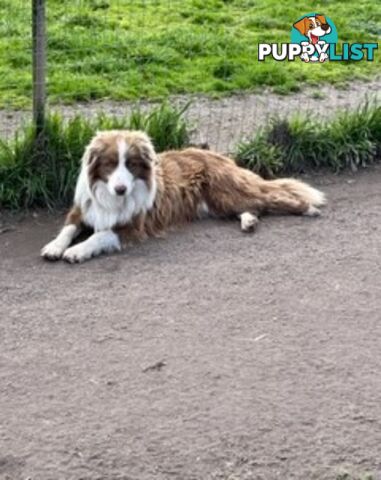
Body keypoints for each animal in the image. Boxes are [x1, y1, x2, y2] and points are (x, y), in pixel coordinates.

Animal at [41, 131, 326, 264]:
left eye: (130, 164)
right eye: (110, 164)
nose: (121, 189)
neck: (111, 197)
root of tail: (219, 155)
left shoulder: (133, 227)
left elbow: (99, 236)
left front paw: (77, 251)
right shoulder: (82, 209)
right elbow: (67, 229)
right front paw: (55, 246)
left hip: (227, 193)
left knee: (272, 198)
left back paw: (307, 208)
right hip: (220, 203)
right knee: (252, 207)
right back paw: (249, 222)